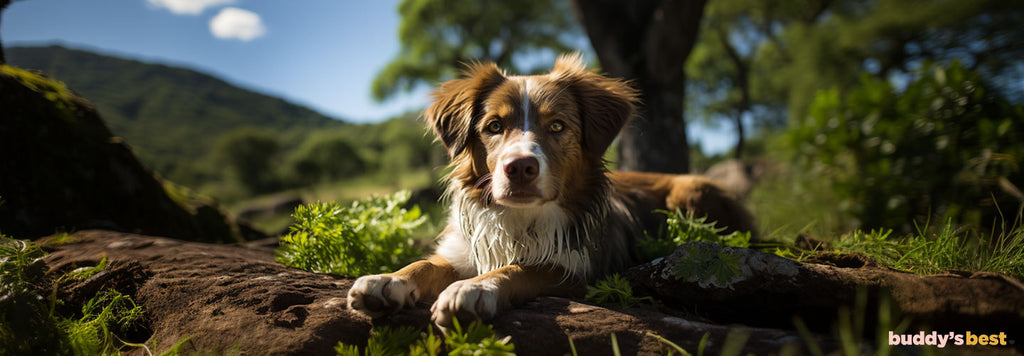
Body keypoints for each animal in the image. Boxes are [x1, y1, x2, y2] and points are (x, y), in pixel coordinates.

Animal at [344, 53, 753, 327]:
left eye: (557, 126)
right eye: (493, 126)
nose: (520, 167)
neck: (520, 218)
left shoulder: (575, 270)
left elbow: (519, 268)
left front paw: (475, 290)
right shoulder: (460, 251)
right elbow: (424, 263)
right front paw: (387, 280)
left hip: (691, 190)